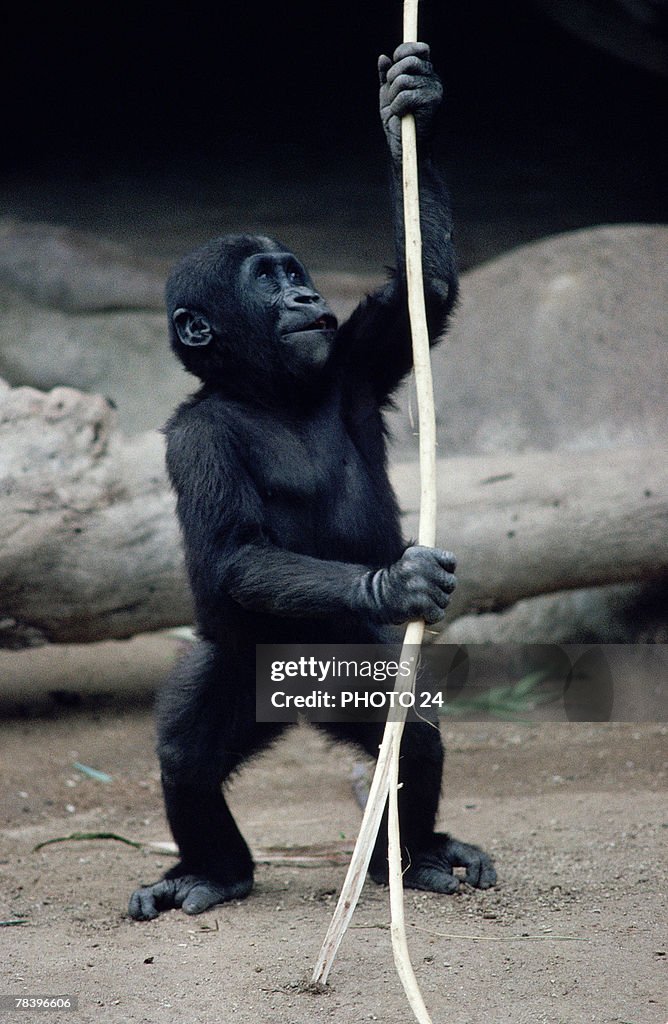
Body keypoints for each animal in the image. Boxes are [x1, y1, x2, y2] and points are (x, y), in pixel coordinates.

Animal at [130, 41, 495, 921]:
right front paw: (398, 582)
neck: (269, 389)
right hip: (240, 664)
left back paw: (417, 854)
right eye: (265, 280)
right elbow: (235, 549)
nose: (302, 292)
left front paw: (407, 112)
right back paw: (215, 869)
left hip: (349, 672)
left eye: (293, 270)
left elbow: (423, 292)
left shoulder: (354, 360)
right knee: (186, 754)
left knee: (410, 740)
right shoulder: (196, 440)